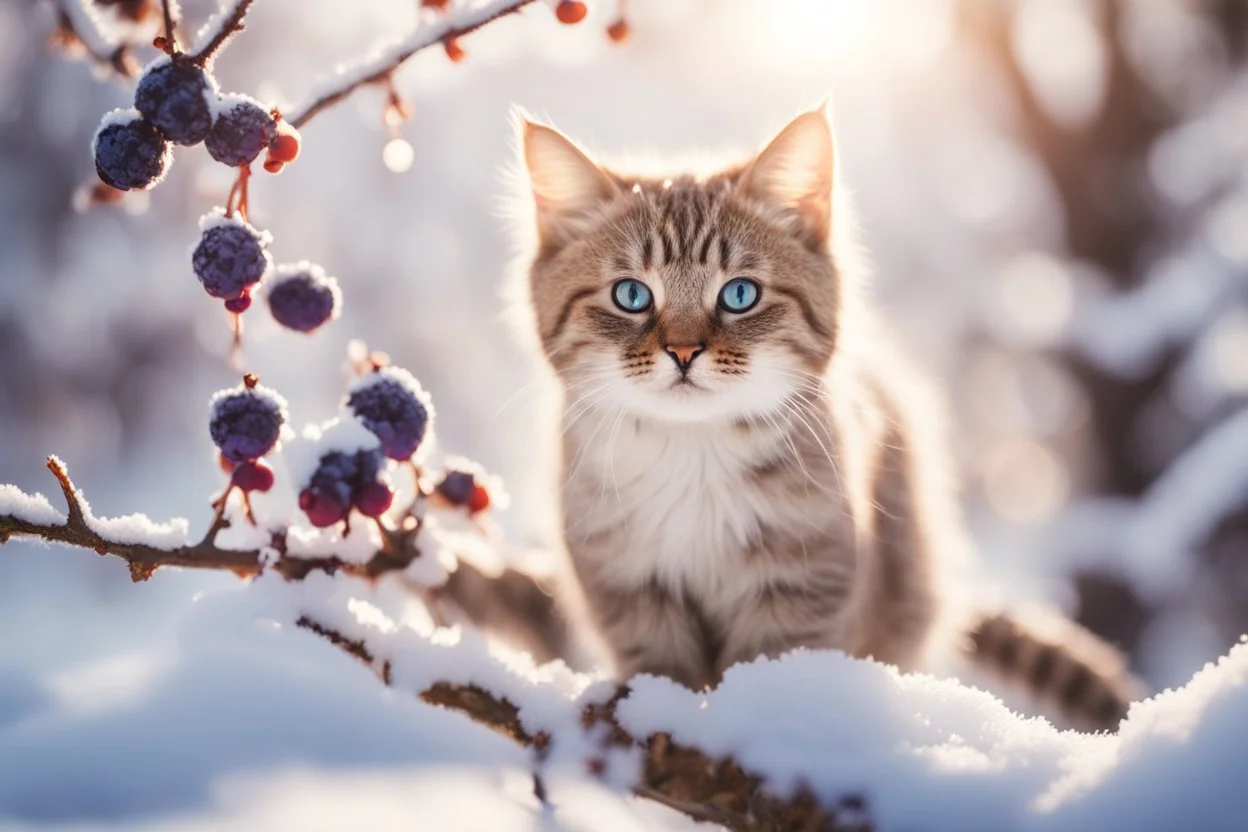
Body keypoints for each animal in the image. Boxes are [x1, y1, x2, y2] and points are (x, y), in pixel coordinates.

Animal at [449, 102, 1143, 728]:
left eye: (739, 294)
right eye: (630, 295)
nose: (683, 351)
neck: (694, 455)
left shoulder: (801, 582)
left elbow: (769, 668)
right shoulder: (627, 585)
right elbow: (659, 668)